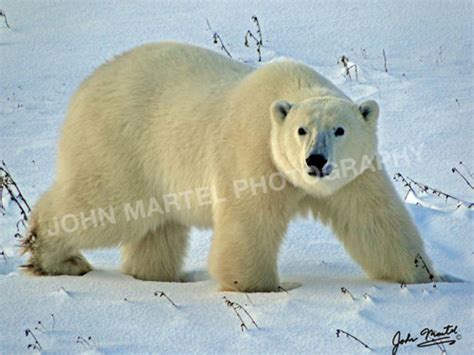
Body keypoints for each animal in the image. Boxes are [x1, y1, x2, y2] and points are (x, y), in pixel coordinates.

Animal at [22, 42, 436, 292]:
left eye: (340, 129)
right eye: (301, 129)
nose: (315, 160)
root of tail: (85, 87)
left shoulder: (354, 176)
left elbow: (377, 222)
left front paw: (426, 277)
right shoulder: (255, 153)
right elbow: (249, 225)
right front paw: (260, 288)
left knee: (159, 227)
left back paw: (158, 276)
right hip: (121, 145)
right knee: (105, 206)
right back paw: (59, 258)